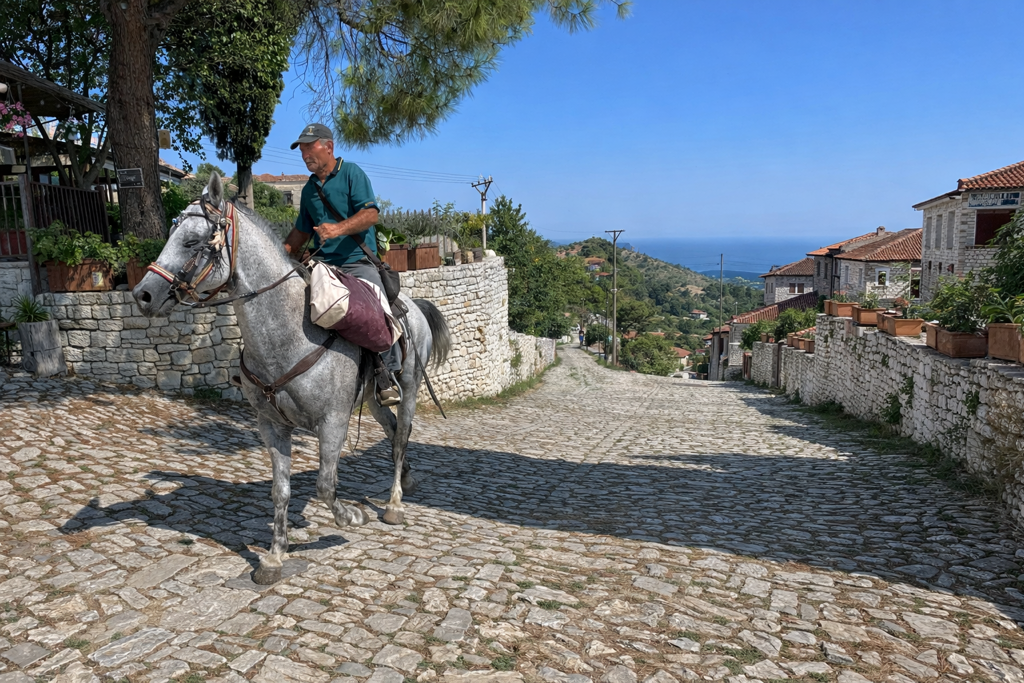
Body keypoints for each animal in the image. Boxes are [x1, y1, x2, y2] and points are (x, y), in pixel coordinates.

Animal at [132, 173, 450, 584]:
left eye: (191, 242)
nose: (142, 294)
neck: (289, 335)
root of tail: (413, 305)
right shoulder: (272, 425)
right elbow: (280, 491)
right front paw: (273, 557)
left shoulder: (333, 423)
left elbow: (325, 486)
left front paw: (351, 515)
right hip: (373, 398)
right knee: (393, 428)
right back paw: (406, 479)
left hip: (409, 387)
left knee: (399, 440)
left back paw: (394, 504)